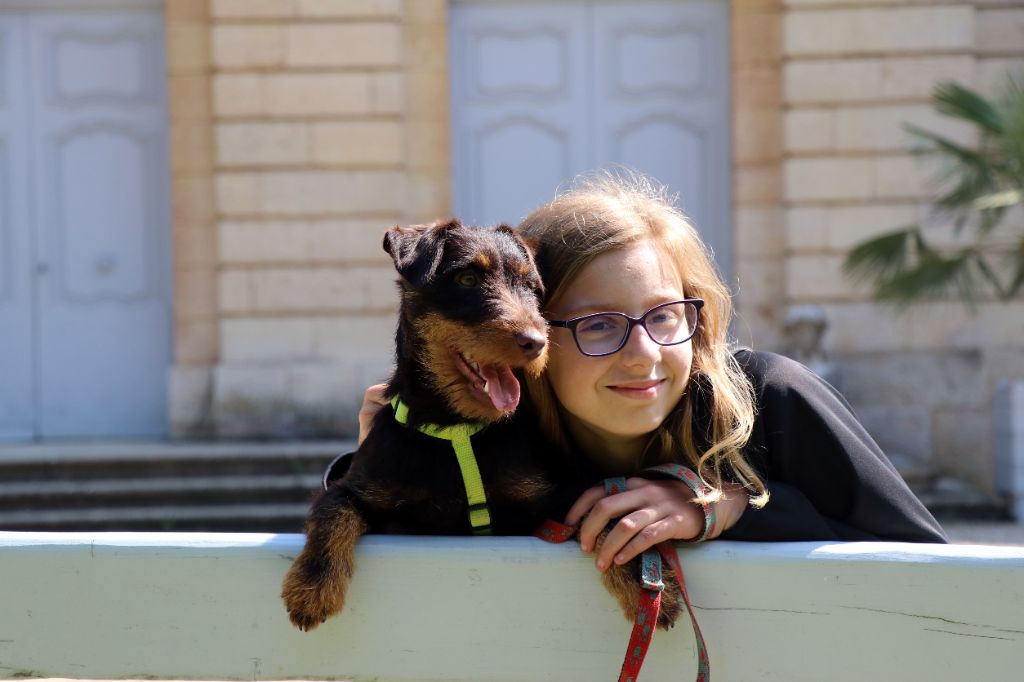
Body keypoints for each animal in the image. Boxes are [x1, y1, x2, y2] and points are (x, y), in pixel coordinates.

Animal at [280, 220, 684, 630]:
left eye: (530, 286)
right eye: (468, 278)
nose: (536, 342)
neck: (457, 430)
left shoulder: (560, 496)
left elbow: (603, 516)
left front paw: (646, 584)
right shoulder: (360, 490)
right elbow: (333, 508)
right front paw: (312, 586)